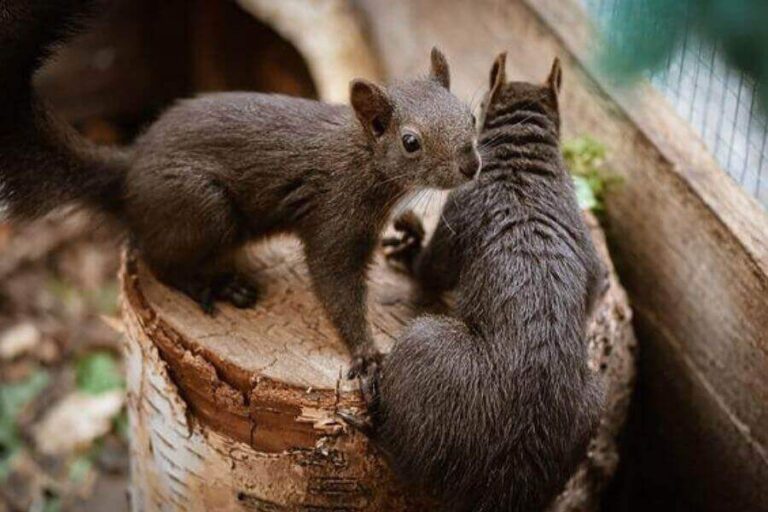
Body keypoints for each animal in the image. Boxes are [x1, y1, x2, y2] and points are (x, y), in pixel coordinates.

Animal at [0, 0, 480, 376]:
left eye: (470, 115)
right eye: (411, 142)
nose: (472, 165)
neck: (364, 159)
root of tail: (127, 173)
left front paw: (411, 226)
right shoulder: (335, 216)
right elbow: (335, 284)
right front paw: (366, 355)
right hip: (202, 208)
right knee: (159, 261)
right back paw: (216, 287)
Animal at [349, 54, 607, 510]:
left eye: (475, 114)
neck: (526, 163)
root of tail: (505, 482)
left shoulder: (463, 207)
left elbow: (431, 269)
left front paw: (411, 245)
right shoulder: (582, 232)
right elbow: (594, 288)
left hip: (425, 348)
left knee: (403, 456)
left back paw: (373, 415)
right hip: (594, 402)